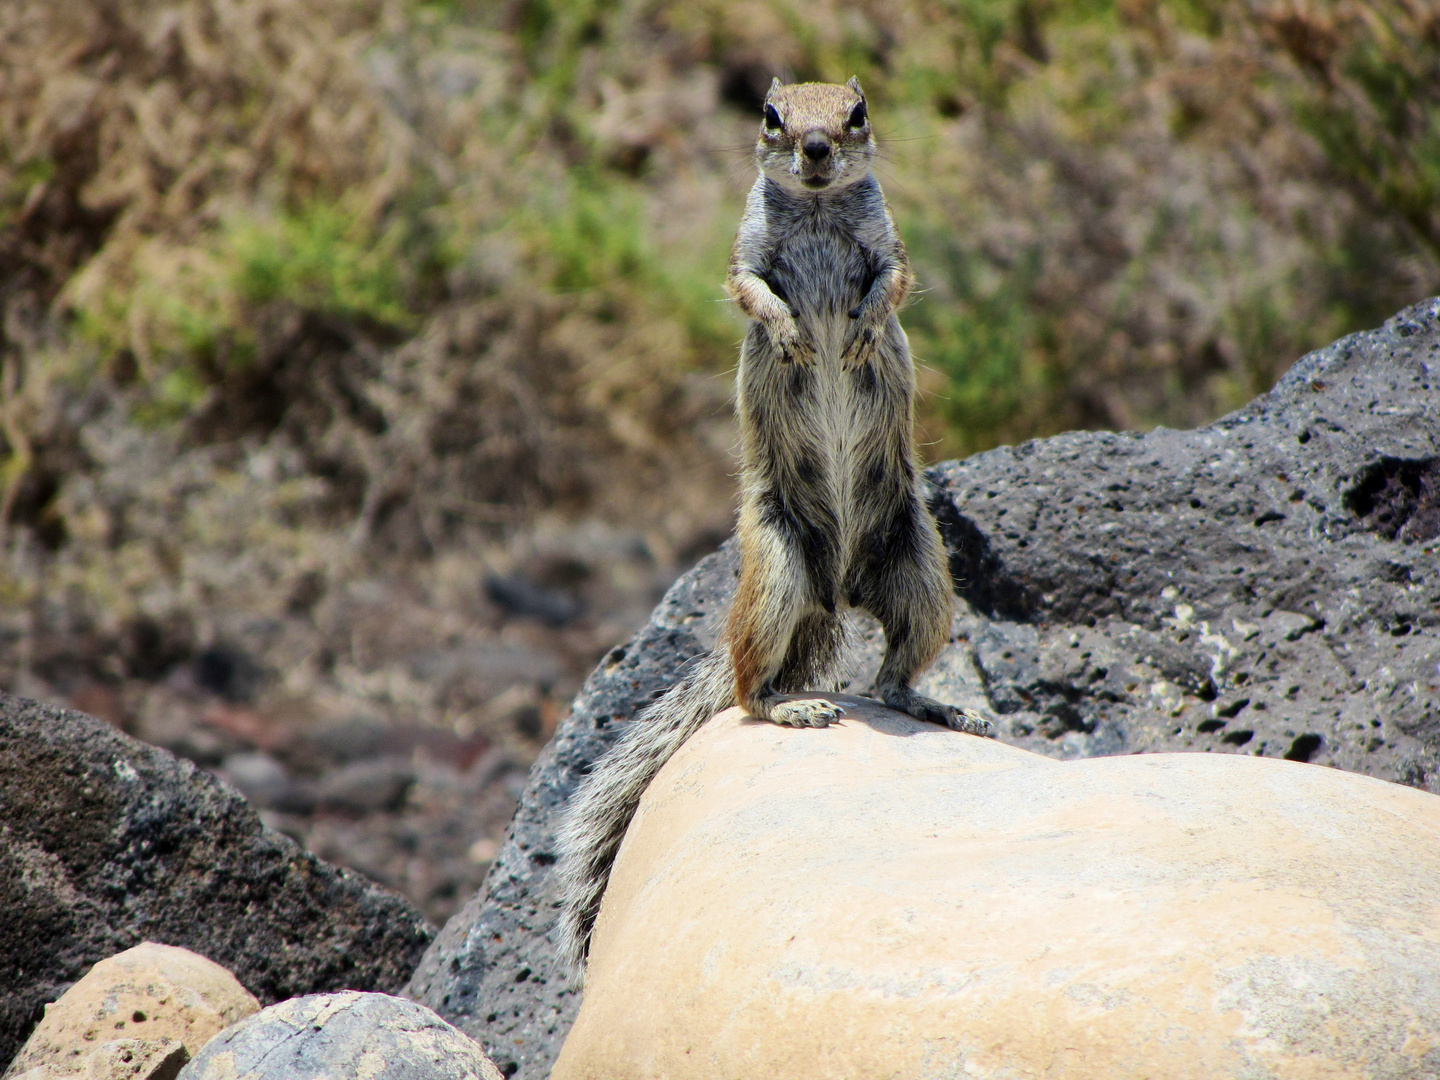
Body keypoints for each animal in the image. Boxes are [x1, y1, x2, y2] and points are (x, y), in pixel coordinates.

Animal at [550, 74, 990, 973]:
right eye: (770, 116)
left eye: (856, 115)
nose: (816, 151)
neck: (818, 210)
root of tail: (837, 590)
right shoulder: (745, 253)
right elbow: (750, 288)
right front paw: (790, 333)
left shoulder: (888, 247)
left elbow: (893, 280)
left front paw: (858, 332)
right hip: (778, 573)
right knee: (750, 692)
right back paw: (793, 707)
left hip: (924, 576)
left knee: (891, 677)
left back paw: (935, 707)